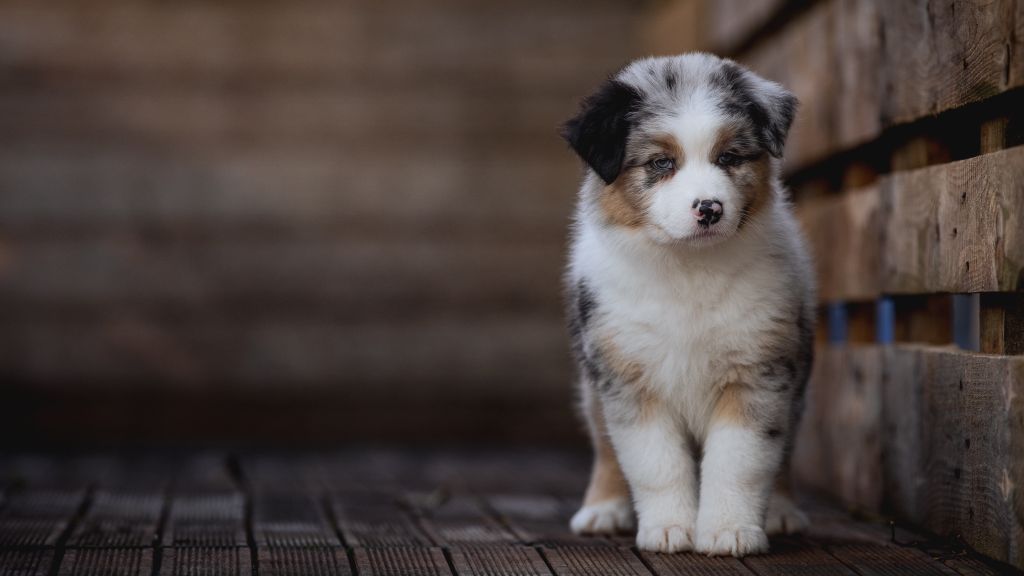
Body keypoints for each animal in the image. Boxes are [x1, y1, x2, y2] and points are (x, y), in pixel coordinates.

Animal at [561, 51, 815, 553]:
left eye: (729, 157)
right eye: (661, 162)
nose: (710, 208)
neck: (688, 267)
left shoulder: (758, 371)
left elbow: (740, 462)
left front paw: (730, 532)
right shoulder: (630, 378)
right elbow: (656, 463)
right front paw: (668, 530)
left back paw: (781, 511)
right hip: (592, 388)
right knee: (605, 445)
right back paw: (603, 510)